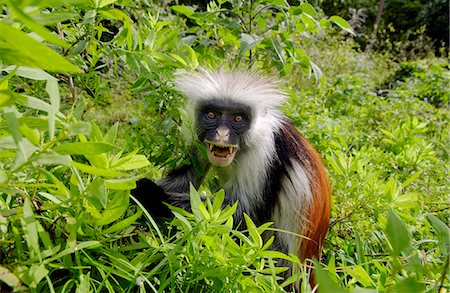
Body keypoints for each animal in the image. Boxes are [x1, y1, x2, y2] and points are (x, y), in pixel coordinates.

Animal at [132, 68, 332, 280]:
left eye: (238, 119)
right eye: (211, 114)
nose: (221, 134)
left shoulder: (262, 153)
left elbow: (239, 215)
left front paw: (150, 194)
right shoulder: (199, 140)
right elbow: (185, 179)